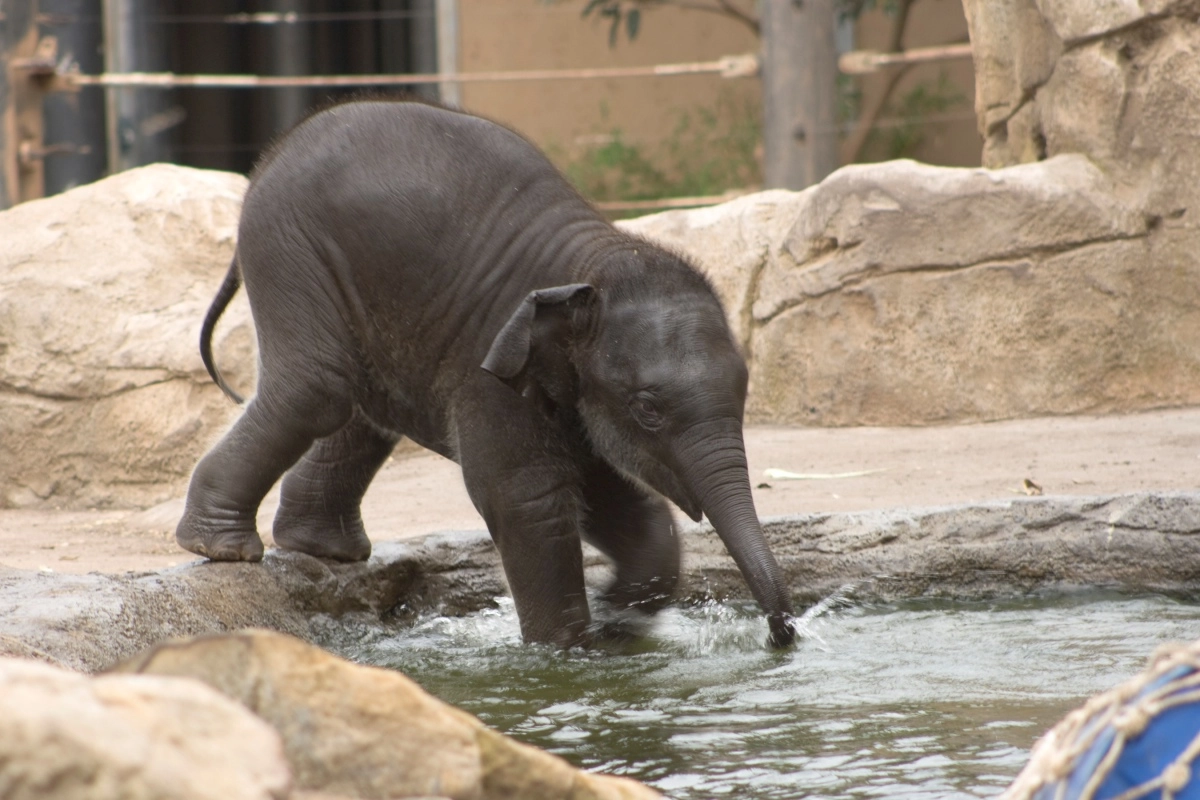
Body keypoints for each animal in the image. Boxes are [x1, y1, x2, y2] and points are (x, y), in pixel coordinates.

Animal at [178, 99, 796, 649]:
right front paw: (569, 651)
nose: (781, 635)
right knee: (318, 389)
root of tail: (269, 157)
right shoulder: (492, 365)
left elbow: (607, 489)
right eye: (648, 409)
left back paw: (325, 551)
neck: (594, 263)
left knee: (361, 409)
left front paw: (620, 617)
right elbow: (528, 494)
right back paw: (223, 550)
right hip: (290, 246)